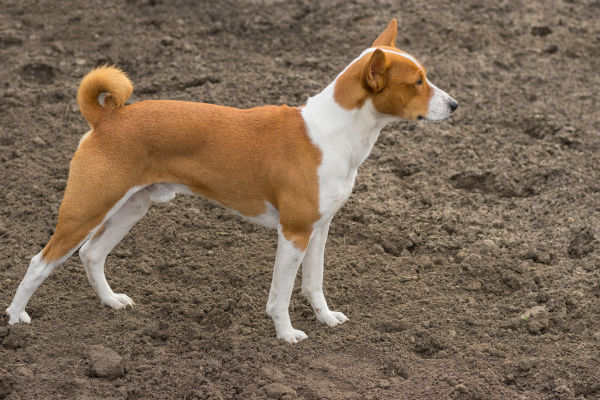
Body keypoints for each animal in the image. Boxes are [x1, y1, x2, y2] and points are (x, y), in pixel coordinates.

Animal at [4, 19, 458, 344]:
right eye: (417, 82)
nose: (455, 104)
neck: (334, 133)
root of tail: (106, 118)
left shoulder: (319, 229)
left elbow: (314, 285)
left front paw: (326, 319)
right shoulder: (294, 232)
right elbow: (281, 293)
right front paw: (286, 335)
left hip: (132, 206)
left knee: (92, 254)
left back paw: (111, 302)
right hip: (86, 208)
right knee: (39, 262)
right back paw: (15, 318)